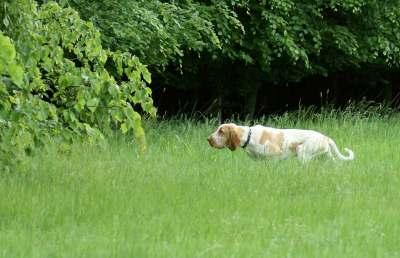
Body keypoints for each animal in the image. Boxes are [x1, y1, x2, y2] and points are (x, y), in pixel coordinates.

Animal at [208, 123, 354, 163]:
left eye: (221, 131)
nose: (208, 139)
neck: (249, 137)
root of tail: (326, 137)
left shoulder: (274, 158)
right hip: (326, 157)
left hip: (302, 153)